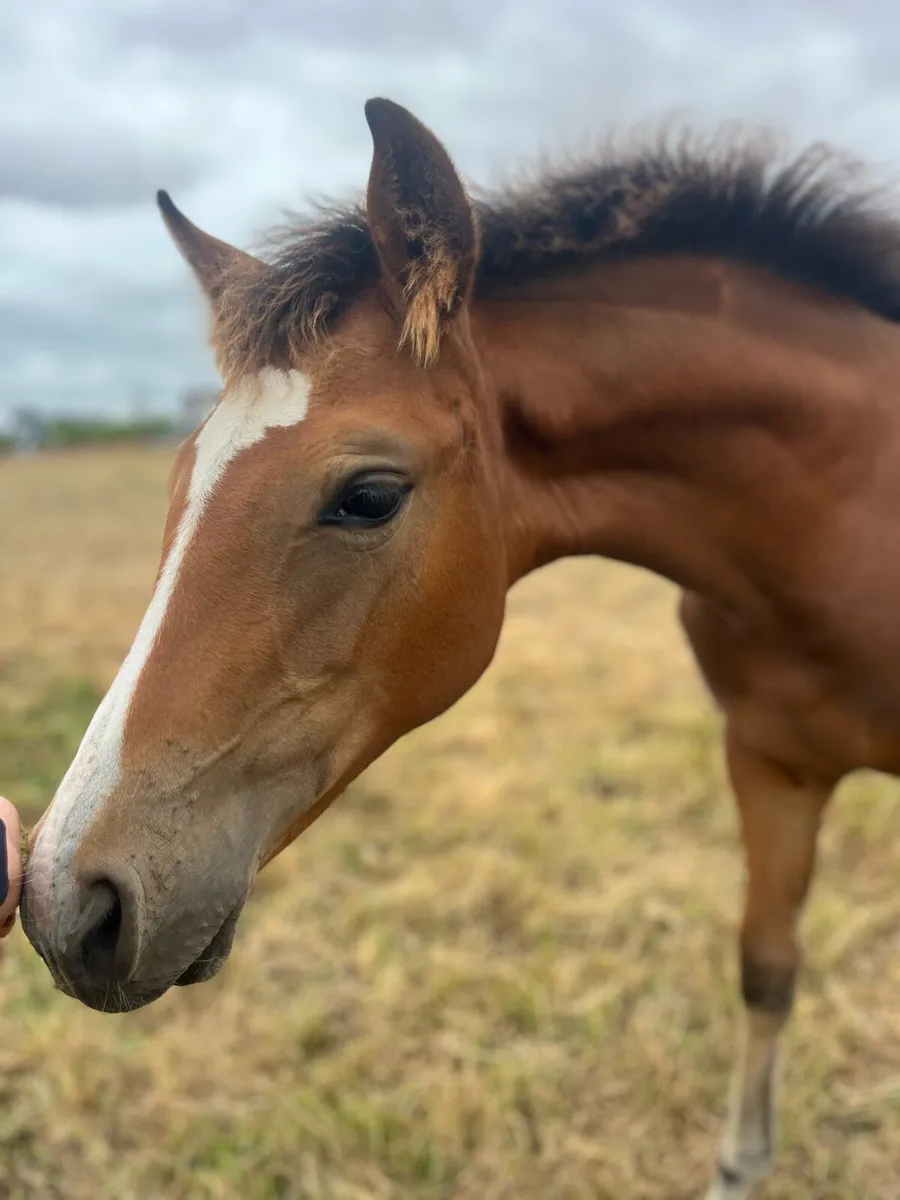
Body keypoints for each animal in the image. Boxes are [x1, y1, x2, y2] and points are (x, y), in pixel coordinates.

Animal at [20, 98, 900, 1199]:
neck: (844, 512)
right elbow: (766, 970)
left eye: (368, 496)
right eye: (180, 477)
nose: (66, 902)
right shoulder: (770, 763)